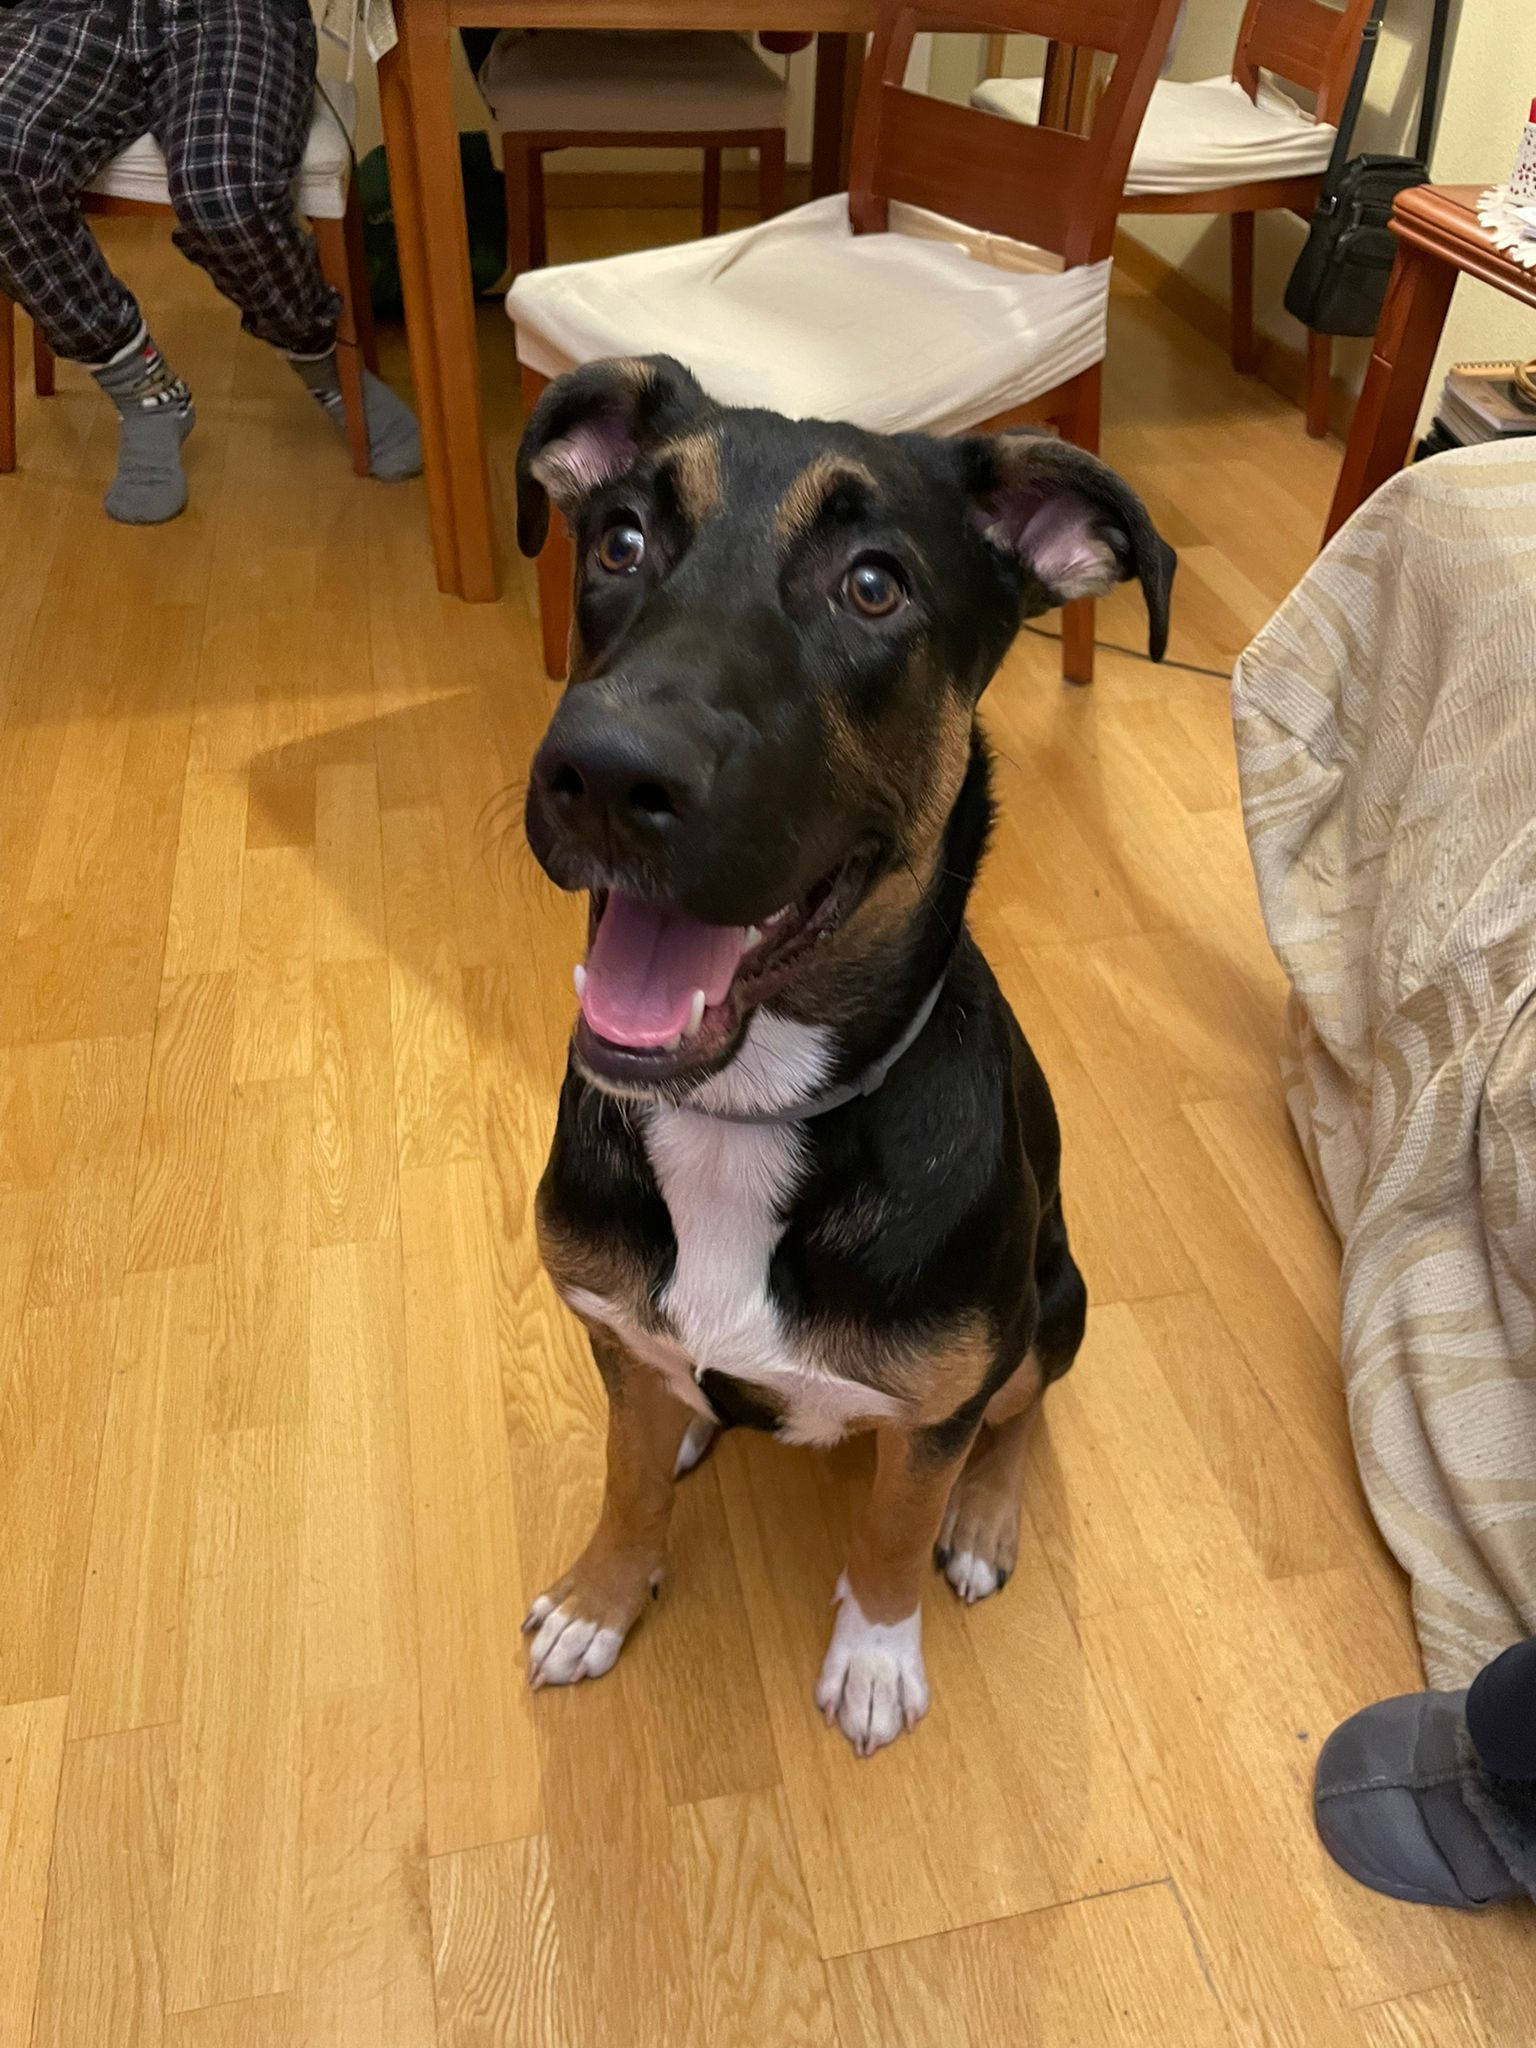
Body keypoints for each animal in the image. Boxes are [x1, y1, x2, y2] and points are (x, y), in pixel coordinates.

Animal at [515, 356, 1174, 1755]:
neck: (744, 1116)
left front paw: (874, 1656)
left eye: (875, 585)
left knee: (1022, 1412)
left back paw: (983, 1516)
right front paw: (604, 1594)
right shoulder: (609, 1321)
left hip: (1054, 1299)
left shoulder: (939, 1396)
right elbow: (626, 1478)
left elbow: (890, 1524)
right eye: (619, 540)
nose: (603, 773)